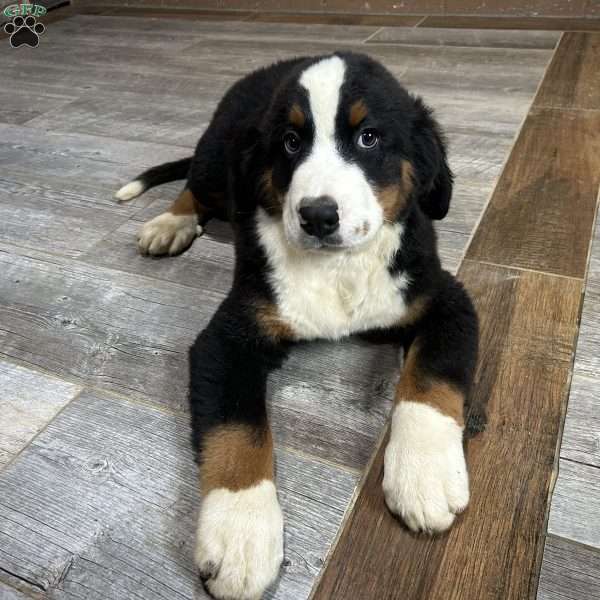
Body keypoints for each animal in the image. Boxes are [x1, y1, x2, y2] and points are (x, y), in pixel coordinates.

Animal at [115, 51, 480, 600]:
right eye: (290, 142)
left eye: (368, 138)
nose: (318, 216)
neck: (337, 267)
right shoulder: (228, 337)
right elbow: (237, 430)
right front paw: (240, 534)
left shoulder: (443, 301)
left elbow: (430, 383)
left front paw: (424, 474)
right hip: (216, 159)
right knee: (194, 186)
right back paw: (169, 223)